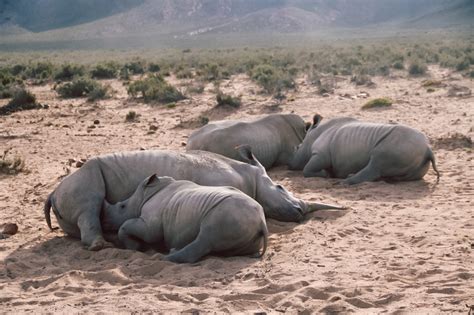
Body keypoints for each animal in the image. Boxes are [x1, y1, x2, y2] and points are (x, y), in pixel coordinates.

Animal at [43, 148, 340, 252]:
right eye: (280, 186)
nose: (300, 211)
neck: (252, 176)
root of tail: (52, 192)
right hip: (83, 179)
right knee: (90, 202)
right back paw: (100, 246)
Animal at [102, 175, 268, 264]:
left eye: (122, 206)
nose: (104, 220)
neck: (146, 194)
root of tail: (262, 222)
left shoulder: (150, 225)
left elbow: (126, 225)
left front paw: (134, 247)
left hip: (228, 214)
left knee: (206, 238)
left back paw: (168, 256)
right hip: (242, 221)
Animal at [288, 116, 440, 185]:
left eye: (298, 147)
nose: (290, 164)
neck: (313, 135)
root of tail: (428, 149)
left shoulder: (320, 154)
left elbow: (306, 170)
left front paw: (326, 174)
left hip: (399, 144)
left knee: (376, 163)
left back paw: (344, 181)